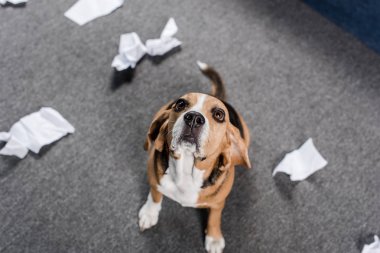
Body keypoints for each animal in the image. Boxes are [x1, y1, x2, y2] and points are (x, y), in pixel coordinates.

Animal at [138, 61, 251, 253]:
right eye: (180, 104)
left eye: (219, 115)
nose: (193, 118)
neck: (186, 168)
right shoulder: (154, 179)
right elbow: (155, 195)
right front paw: (149, 212)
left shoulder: (218, 202)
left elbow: (214, 217)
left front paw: (214, 238)